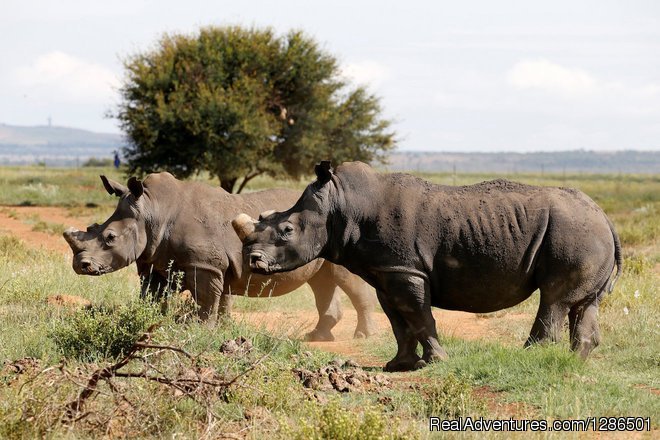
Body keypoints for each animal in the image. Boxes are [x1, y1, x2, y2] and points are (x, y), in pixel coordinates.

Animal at [65, 172, 378, 340]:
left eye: (110, 238)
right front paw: (152, 323)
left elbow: (207, 300)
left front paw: (202, 330)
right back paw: (317, 337)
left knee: (344, 279)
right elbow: (155, 296)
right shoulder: (156, 261)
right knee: (321, 280)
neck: (153, 211)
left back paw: (363, 335)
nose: (80, 265)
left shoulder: (205, 265)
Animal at [233, 160, 624, 370]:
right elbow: (398, 320)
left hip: (575, 231)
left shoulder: (405, 270)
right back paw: (574, 363)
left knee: (553, 299)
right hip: (586, 233)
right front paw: (399, 365)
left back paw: (528, 359)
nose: (253, 261)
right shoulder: (386, 271)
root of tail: (606, 217)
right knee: (582, 303)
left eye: (287, 230)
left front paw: (436, 362)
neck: (342, 205)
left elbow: (419, 315)